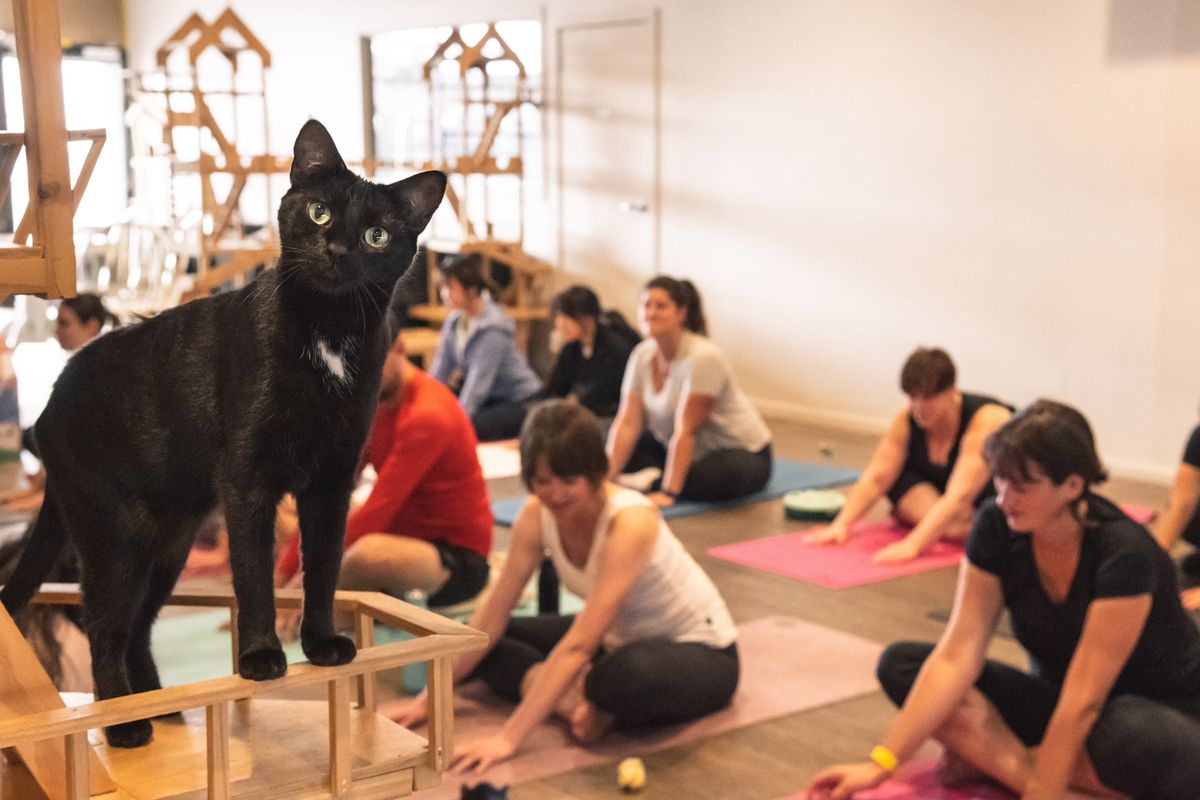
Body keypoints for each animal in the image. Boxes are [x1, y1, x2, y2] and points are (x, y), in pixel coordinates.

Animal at [0, 120, 446, 753]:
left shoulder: (332, 483)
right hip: (115, 538)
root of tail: (46, 410)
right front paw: (260, 657)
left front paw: (320, 644)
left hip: (167, 547)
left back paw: (162, 709)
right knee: (103, 626)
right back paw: (124, 725)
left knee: (135, 628)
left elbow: (324, 567)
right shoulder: (248, 481)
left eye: (377, 235)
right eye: (318, 213)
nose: (337, 249)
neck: (329, 334)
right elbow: (255, 577)